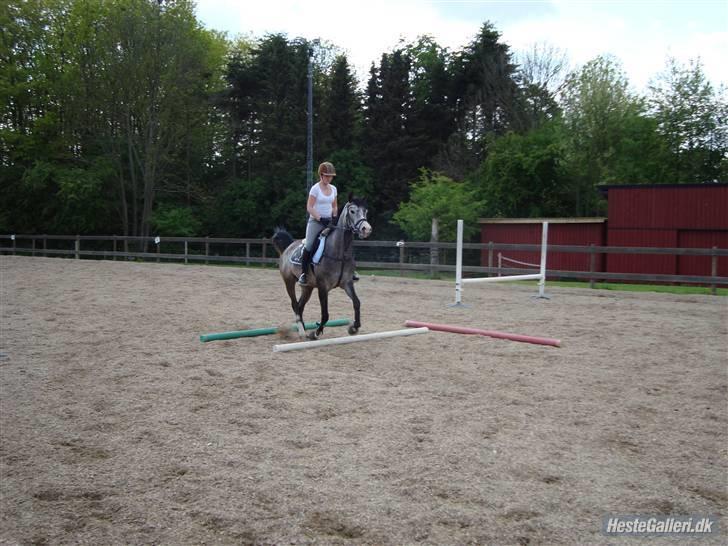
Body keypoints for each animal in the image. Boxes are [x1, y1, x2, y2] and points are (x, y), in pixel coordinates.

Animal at [274, 196, 376, 338]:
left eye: (365, 211)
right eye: (352, 211)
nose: (366, 229)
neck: (340, 253)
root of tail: (288, 247)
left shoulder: (347, 283)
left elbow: (357, 303)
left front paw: (354, 328)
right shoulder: (323, 286)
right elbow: (325, 314)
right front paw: (316, 333)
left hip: (308, 287)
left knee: (300, 305)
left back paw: (303, 329)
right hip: (289, 281)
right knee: (294, 304)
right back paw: (302, 331)